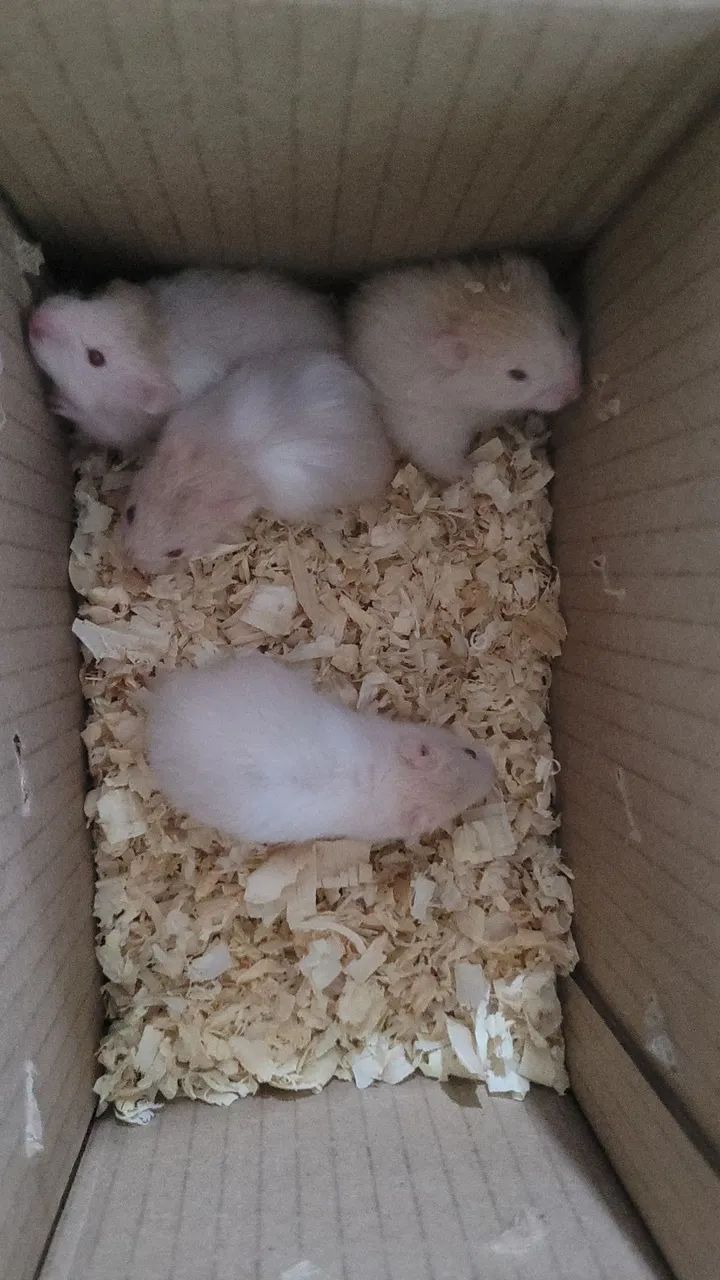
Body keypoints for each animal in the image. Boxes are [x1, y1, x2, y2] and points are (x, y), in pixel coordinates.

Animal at [27, 268, 341, 448]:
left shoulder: (121, 428)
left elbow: (99, 427)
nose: (34, 319)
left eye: (95, 358)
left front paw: (56, 401)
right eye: (88, 299)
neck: (157, 339)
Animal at [348, 253, 582, 482]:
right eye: (516, 374)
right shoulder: (426, 422)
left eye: (561, 330)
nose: (576, 391)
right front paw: (475, 471)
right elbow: (440, 458)